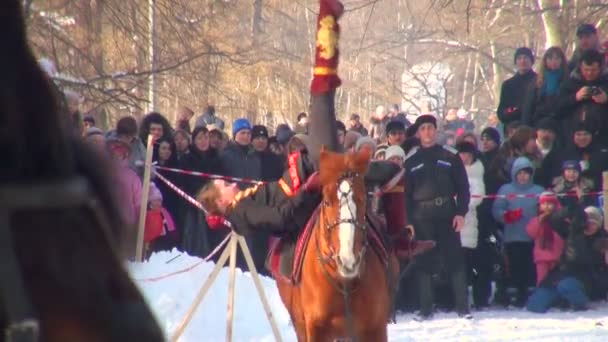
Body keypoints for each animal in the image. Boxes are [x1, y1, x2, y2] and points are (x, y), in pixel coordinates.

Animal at [276, 148, 400, 342]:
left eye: (363, 199)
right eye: (326, 201)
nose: (348, 260)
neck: (343, 282)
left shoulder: (375, 328)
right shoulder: (315, 329)